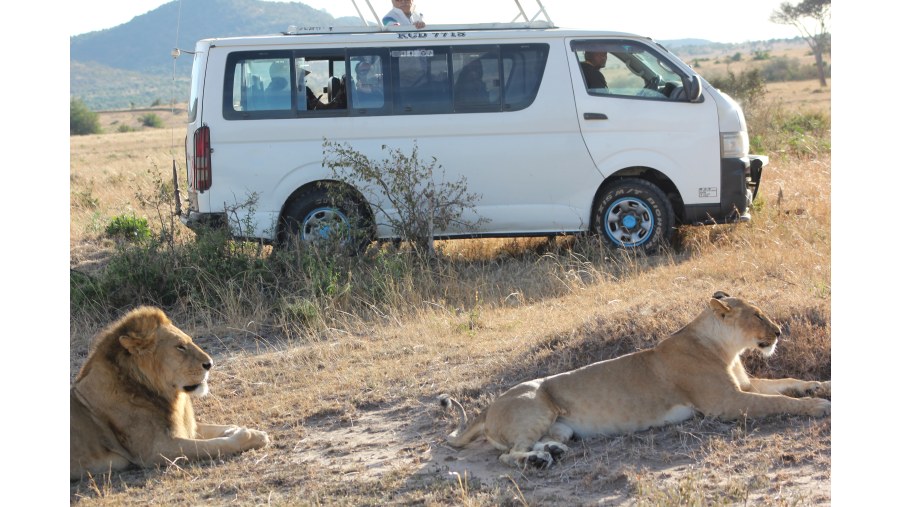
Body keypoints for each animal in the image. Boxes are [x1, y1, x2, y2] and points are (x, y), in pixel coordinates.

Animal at [71, 306, 270, 480]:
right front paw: (255, 436)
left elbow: (216, 429)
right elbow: (214, 445)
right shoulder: (157, 450)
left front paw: (238, 429)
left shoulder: (182, 427)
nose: (210, 364)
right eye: (180, 347)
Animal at [436, 292, 828, 470]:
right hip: (535, 406)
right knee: (508, 455)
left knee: (540, 443)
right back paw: (538, 461)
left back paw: (552, 452)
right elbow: (779, 402)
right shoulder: (727, 403)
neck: (727, 349)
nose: (779, 331)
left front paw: (820, 386)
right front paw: (818, 405)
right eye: (758, 316)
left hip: (562, 428)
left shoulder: (744, 388)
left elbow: (787, 382)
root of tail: (488, 408)